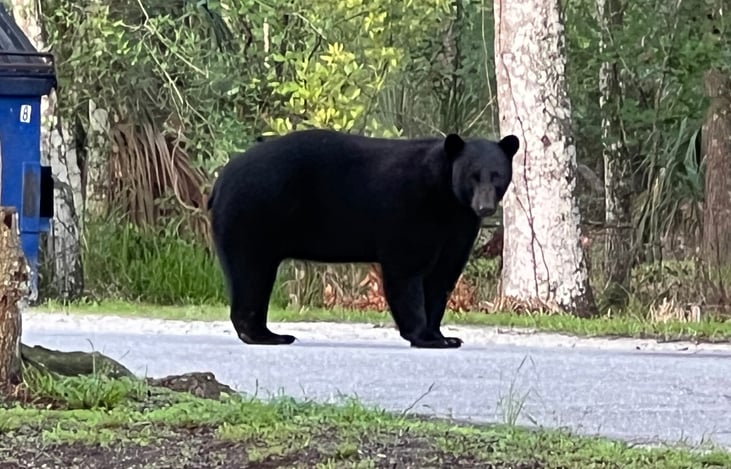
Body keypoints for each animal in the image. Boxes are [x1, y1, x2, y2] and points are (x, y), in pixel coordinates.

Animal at [207, 128, 519, 349]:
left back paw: (270, 332)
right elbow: (407, 271)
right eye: (473, 175)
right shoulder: (411, 209)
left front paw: (442, 335)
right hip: (253, 214)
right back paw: (264, 335)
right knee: (250, 273)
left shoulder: (458, 226)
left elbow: (442, 275)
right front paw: (424, 336)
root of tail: (221, 178)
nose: (485, 207)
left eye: (497, 175)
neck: (446, 196)